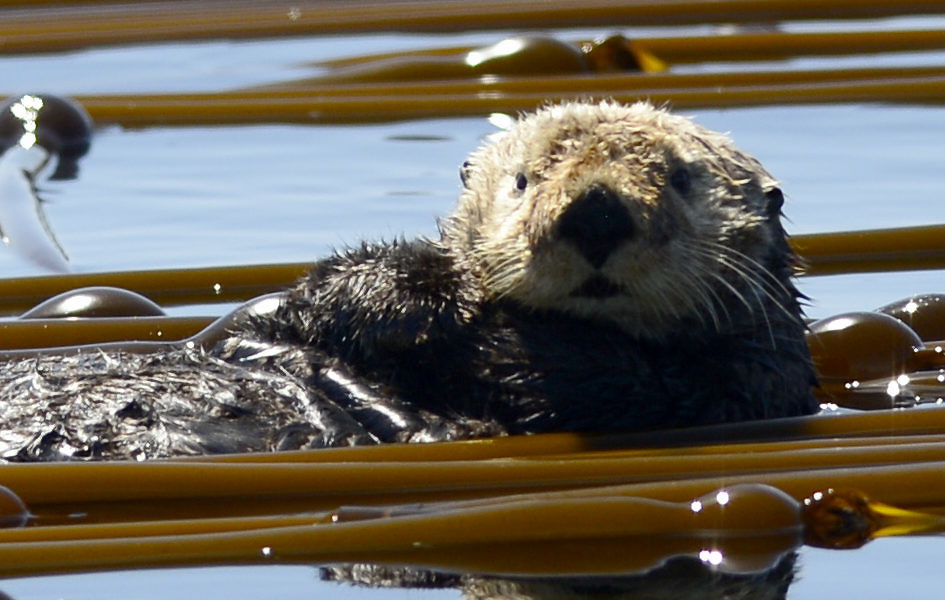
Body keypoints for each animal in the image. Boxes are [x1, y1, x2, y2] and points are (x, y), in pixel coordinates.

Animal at [0, 102, 816, 460]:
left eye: (680, 179)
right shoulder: (273, 319)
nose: (595, 213)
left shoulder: (743, 385)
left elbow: (597, 376)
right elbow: (276, 322)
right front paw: (406, 293)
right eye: (524, 180)